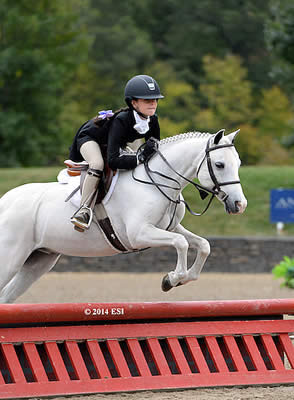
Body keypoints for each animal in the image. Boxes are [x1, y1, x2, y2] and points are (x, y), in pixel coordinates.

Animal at [0, 130, 246, 302]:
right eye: (219, 164)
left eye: (238, 164)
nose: (240, 204)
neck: (157, 181)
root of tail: (5, 202)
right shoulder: (139, 234)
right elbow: (181, 243)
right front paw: (172, 279)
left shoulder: (169, 227)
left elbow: (202, 245)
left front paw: (182, 278)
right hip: (10, 258)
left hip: (38, 261)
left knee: (7, 297)